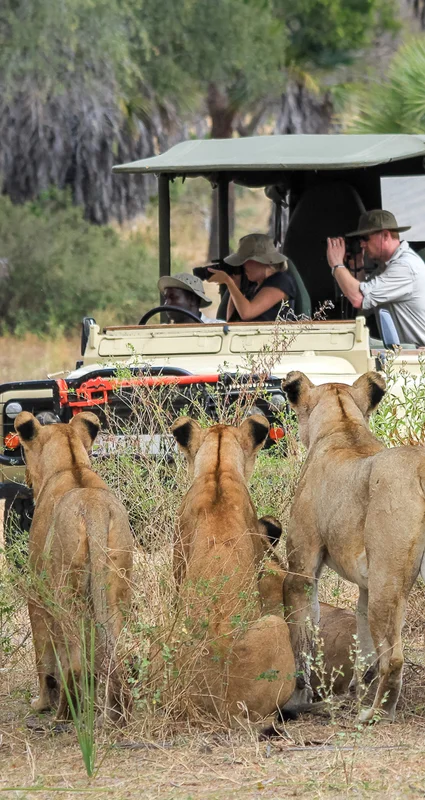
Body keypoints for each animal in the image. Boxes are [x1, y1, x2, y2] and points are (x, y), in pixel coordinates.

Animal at [15, 411, 133, 725]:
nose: (26, 480)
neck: (71, 465)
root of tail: (92, 508)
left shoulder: (37, 596)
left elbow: (43, 653)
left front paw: (41, 703)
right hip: (116, 588)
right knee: (114, 651)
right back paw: (116, 714)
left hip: (65, 593)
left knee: (75, 659)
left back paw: (64, 715)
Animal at [282, 370, 425, 722]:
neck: (342, 423)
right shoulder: (365, 586)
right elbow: (362, 646)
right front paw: (356, 690)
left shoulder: (303, 569)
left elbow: (303, 639)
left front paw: (299, 698)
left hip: (388, 580)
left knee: (394, 656)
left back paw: (375, 713)